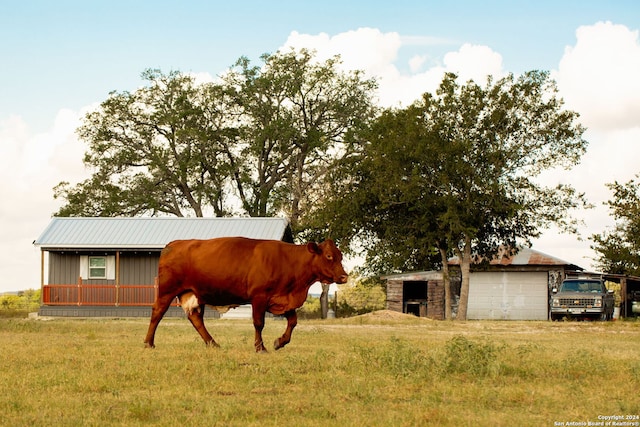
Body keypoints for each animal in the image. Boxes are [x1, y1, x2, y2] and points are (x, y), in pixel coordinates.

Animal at [144, 236, 348, 352]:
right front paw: (260, 347)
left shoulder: (282, 299)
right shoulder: (259, 297)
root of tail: (174, 244)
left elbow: (293, 321)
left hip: (193, 294)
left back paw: (213, 344)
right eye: (329, 256)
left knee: (196, 319)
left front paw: (280, 342)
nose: (344, 276)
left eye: (341, 256)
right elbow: (259, 323)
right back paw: (149, 343)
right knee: (157, 313)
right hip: (167, 291)